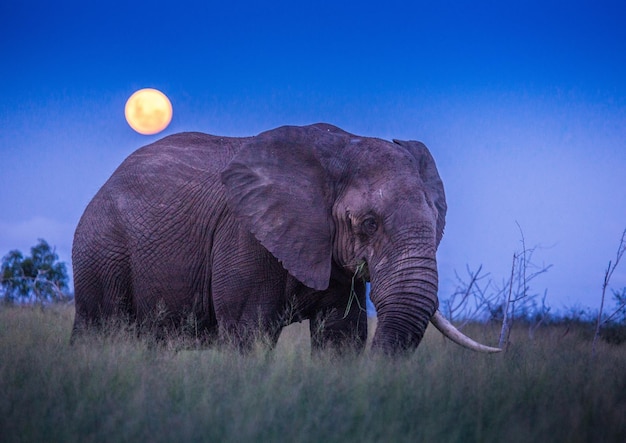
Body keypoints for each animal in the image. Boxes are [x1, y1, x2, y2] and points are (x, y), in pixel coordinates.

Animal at [73, 123, 500, 356]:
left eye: (436, 221)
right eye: (369, 224)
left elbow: (341, 337)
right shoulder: (245, 236)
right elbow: (249, 334)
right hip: (101, 247)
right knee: (101, 327)